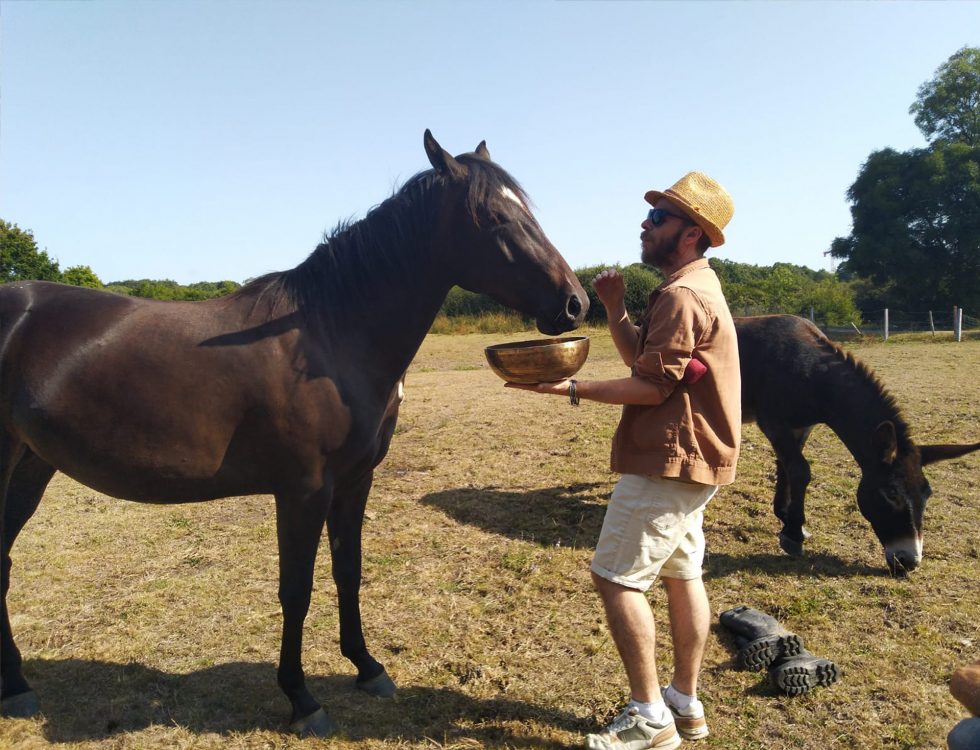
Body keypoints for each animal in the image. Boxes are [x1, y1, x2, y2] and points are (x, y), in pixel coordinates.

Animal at [0, 131, 589, 736]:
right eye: (493, 217)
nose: (574, 303)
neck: (331, 337)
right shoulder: (303, 490)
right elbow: (297, 591)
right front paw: (302, 698)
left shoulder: (354, 483)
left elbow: (348, 572)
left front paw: (367, 668)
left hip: (31, 465)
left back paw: (16, 686)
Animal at [737, 314, 980, 574]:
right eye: (891, 494)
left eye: (927, 495)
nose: (910, 563)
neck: (812, 374)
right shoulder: (773, 423)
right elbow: (800, 470)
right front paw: (793, 535)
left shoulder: (800, 427)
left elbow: (786, 467)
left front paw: (786, 519)